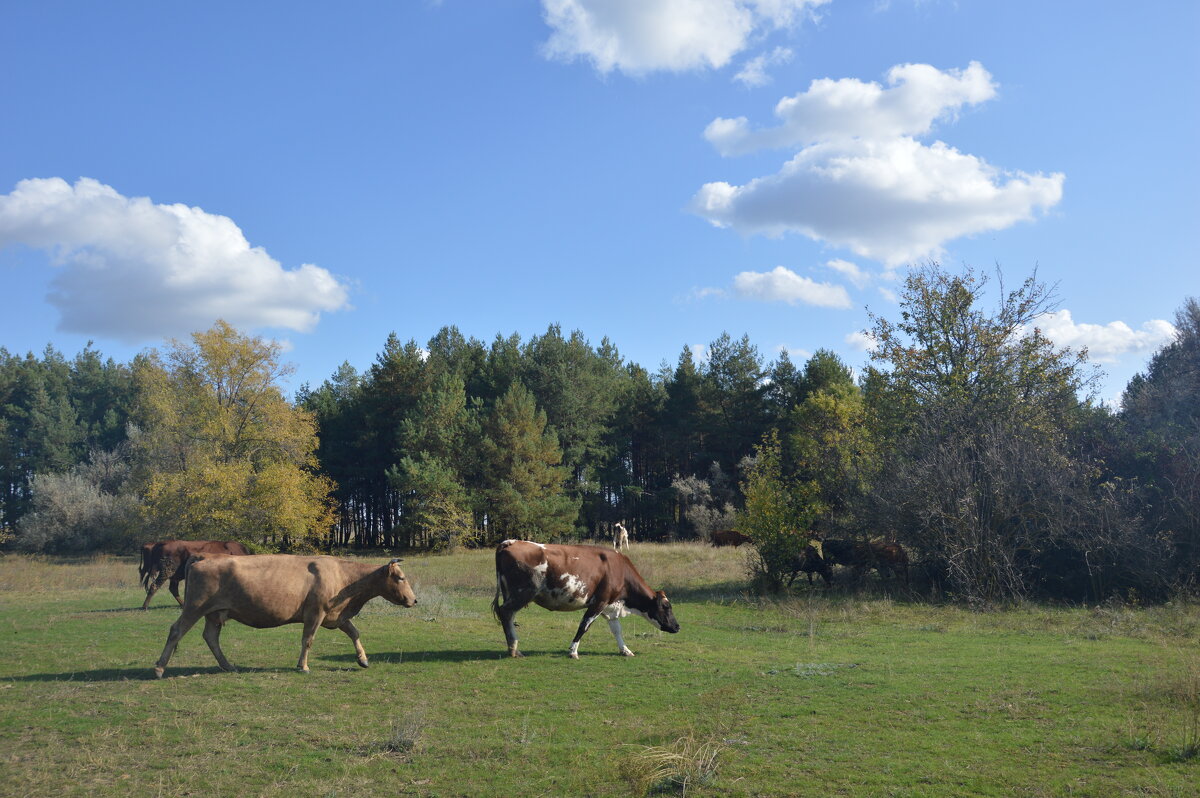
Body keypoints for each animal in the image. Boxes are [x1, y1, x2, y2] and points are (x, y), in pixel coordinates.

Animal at [154, 554, 417, 676]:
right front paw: (303, 666)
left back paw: (228, 665)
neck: (344, 577)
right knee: (176, 630)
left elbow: (354, 632)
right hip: (194, 607)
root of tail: (203, 558)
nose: (414, 599)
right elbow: (308, 640)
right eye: (401, 577)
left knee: (211, 637)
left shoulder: (336, 615)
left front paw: (363, 659)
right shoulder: (315, 613)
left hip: (215, 613)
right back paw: (159, 668)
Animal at [492, 537, 681, 657]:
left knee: (509, 616)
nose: (677, 626)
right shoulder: (599, 602)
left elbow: (616, 630)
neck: (619, 569)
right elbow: (584, 625)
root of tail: (510, 542)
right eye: (666, 607)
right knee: (506, 613)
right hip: (522, 594)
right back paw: (513, 649)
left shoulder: (610, 606)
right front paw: (573, 651)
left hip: (513, 595)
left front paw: (625, 650)